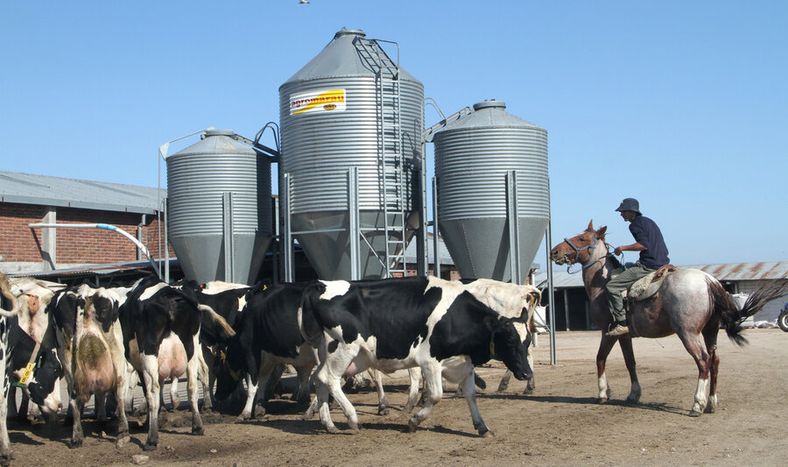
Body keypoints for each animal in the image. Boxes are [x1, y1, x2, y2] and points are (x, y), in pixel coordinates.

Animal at [299, 276, 532, 436]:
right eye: (509, 340)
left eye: (527, 341)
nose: (527, 373)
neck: (458, 317)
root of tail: (321, 285)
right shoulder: (430, 362)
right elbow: (435, 395)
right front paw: (414, 421)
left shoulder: (463, 363)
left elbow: (471, 395)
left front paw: (482, 427)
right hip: (343, 348)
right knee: (329, 378)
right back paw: (353, 418)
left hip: (328, 350)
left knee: (319, 379)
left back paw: (329, 424)